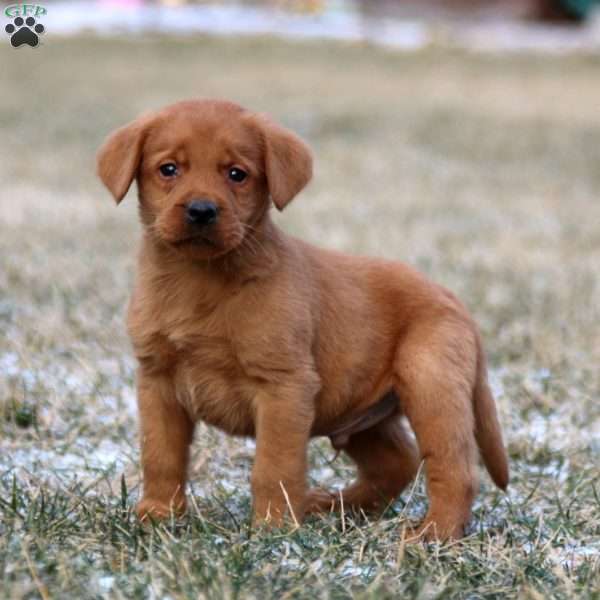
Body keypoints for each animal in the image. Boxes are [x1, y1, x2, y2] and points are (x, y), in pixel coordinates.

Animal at [97, 98, 506, 540]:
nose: (201, 211)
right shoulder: (157, 382)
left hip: (431, 385)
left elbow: (273, 467)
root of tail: (452, 298)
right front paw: (158, 515)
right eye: (168, 169)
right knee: (397, 461)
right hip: (361, 413)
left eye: (237, 174)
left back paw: (432, 533)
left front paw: (272, 527)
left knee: (454, 468)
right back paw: (330, 506)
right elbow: (161, 456)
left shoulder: (285, 387)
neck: (200, 281)